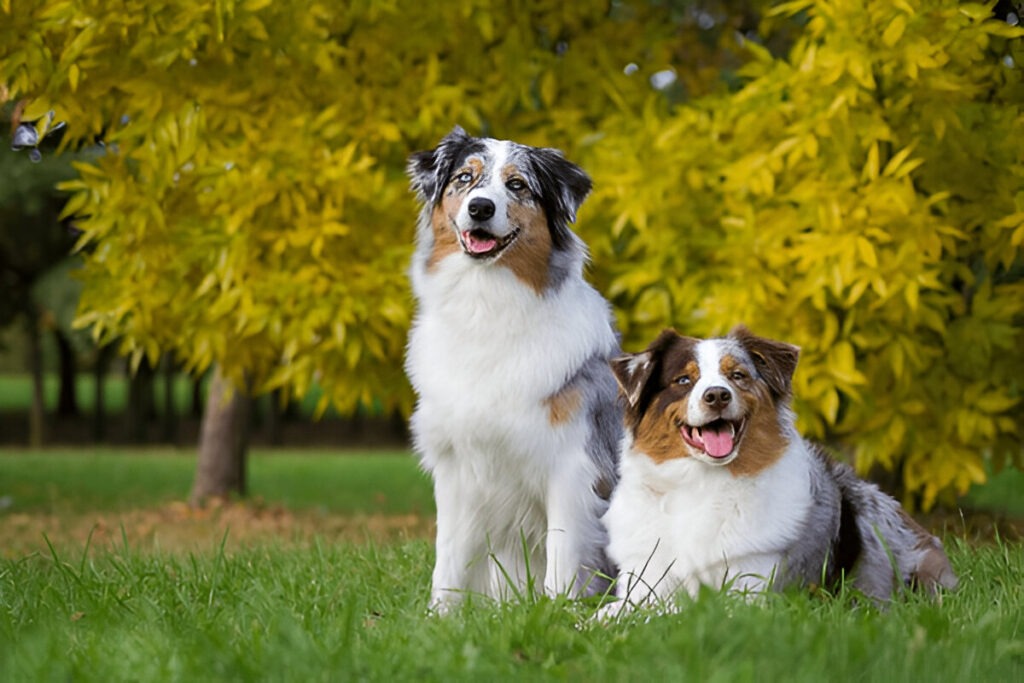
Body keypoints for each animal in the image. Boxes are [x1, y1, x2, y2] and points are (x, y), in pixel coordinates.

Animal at [403, 127, 618, 614]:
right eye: (464, 178)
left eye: (517, 185)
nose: (481, 207)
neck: (487, 306)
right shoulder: (456, 469)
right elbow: (448, 556)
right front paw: (438, 618)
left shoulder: (571, 467)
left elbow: (563, 553)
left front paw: (557, 614)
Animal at [598, 325, 958, 614]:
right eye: (683, 380)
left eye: (737, 376)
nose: (717, 395)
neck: (700, 482)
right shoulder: (646, 580)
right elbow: (612, 613)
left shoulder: (749, 591)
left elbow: (675, 612)